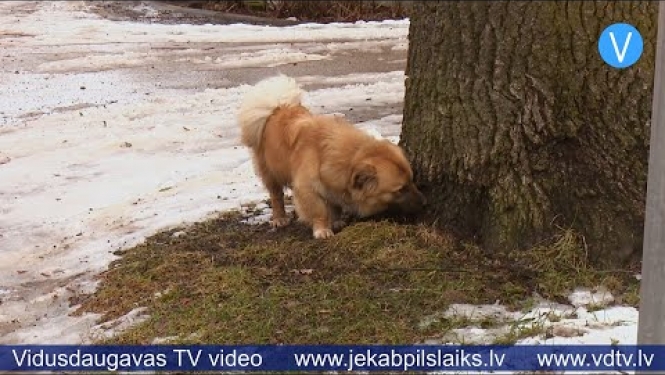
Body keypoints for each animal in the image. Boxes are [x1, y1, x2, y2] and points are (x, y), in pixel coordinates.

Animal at [239, 75, 426, 239]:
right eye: (400, 189)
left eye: (412, 181)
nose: (424, 202)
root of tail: (277, 108)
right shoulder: (307, 188)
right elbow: (319, 211)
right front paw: (322, 230)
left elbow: (335, 205)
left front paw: (336, 221)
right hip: (270, 172)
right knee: (276, 195)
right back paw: (279, 218)